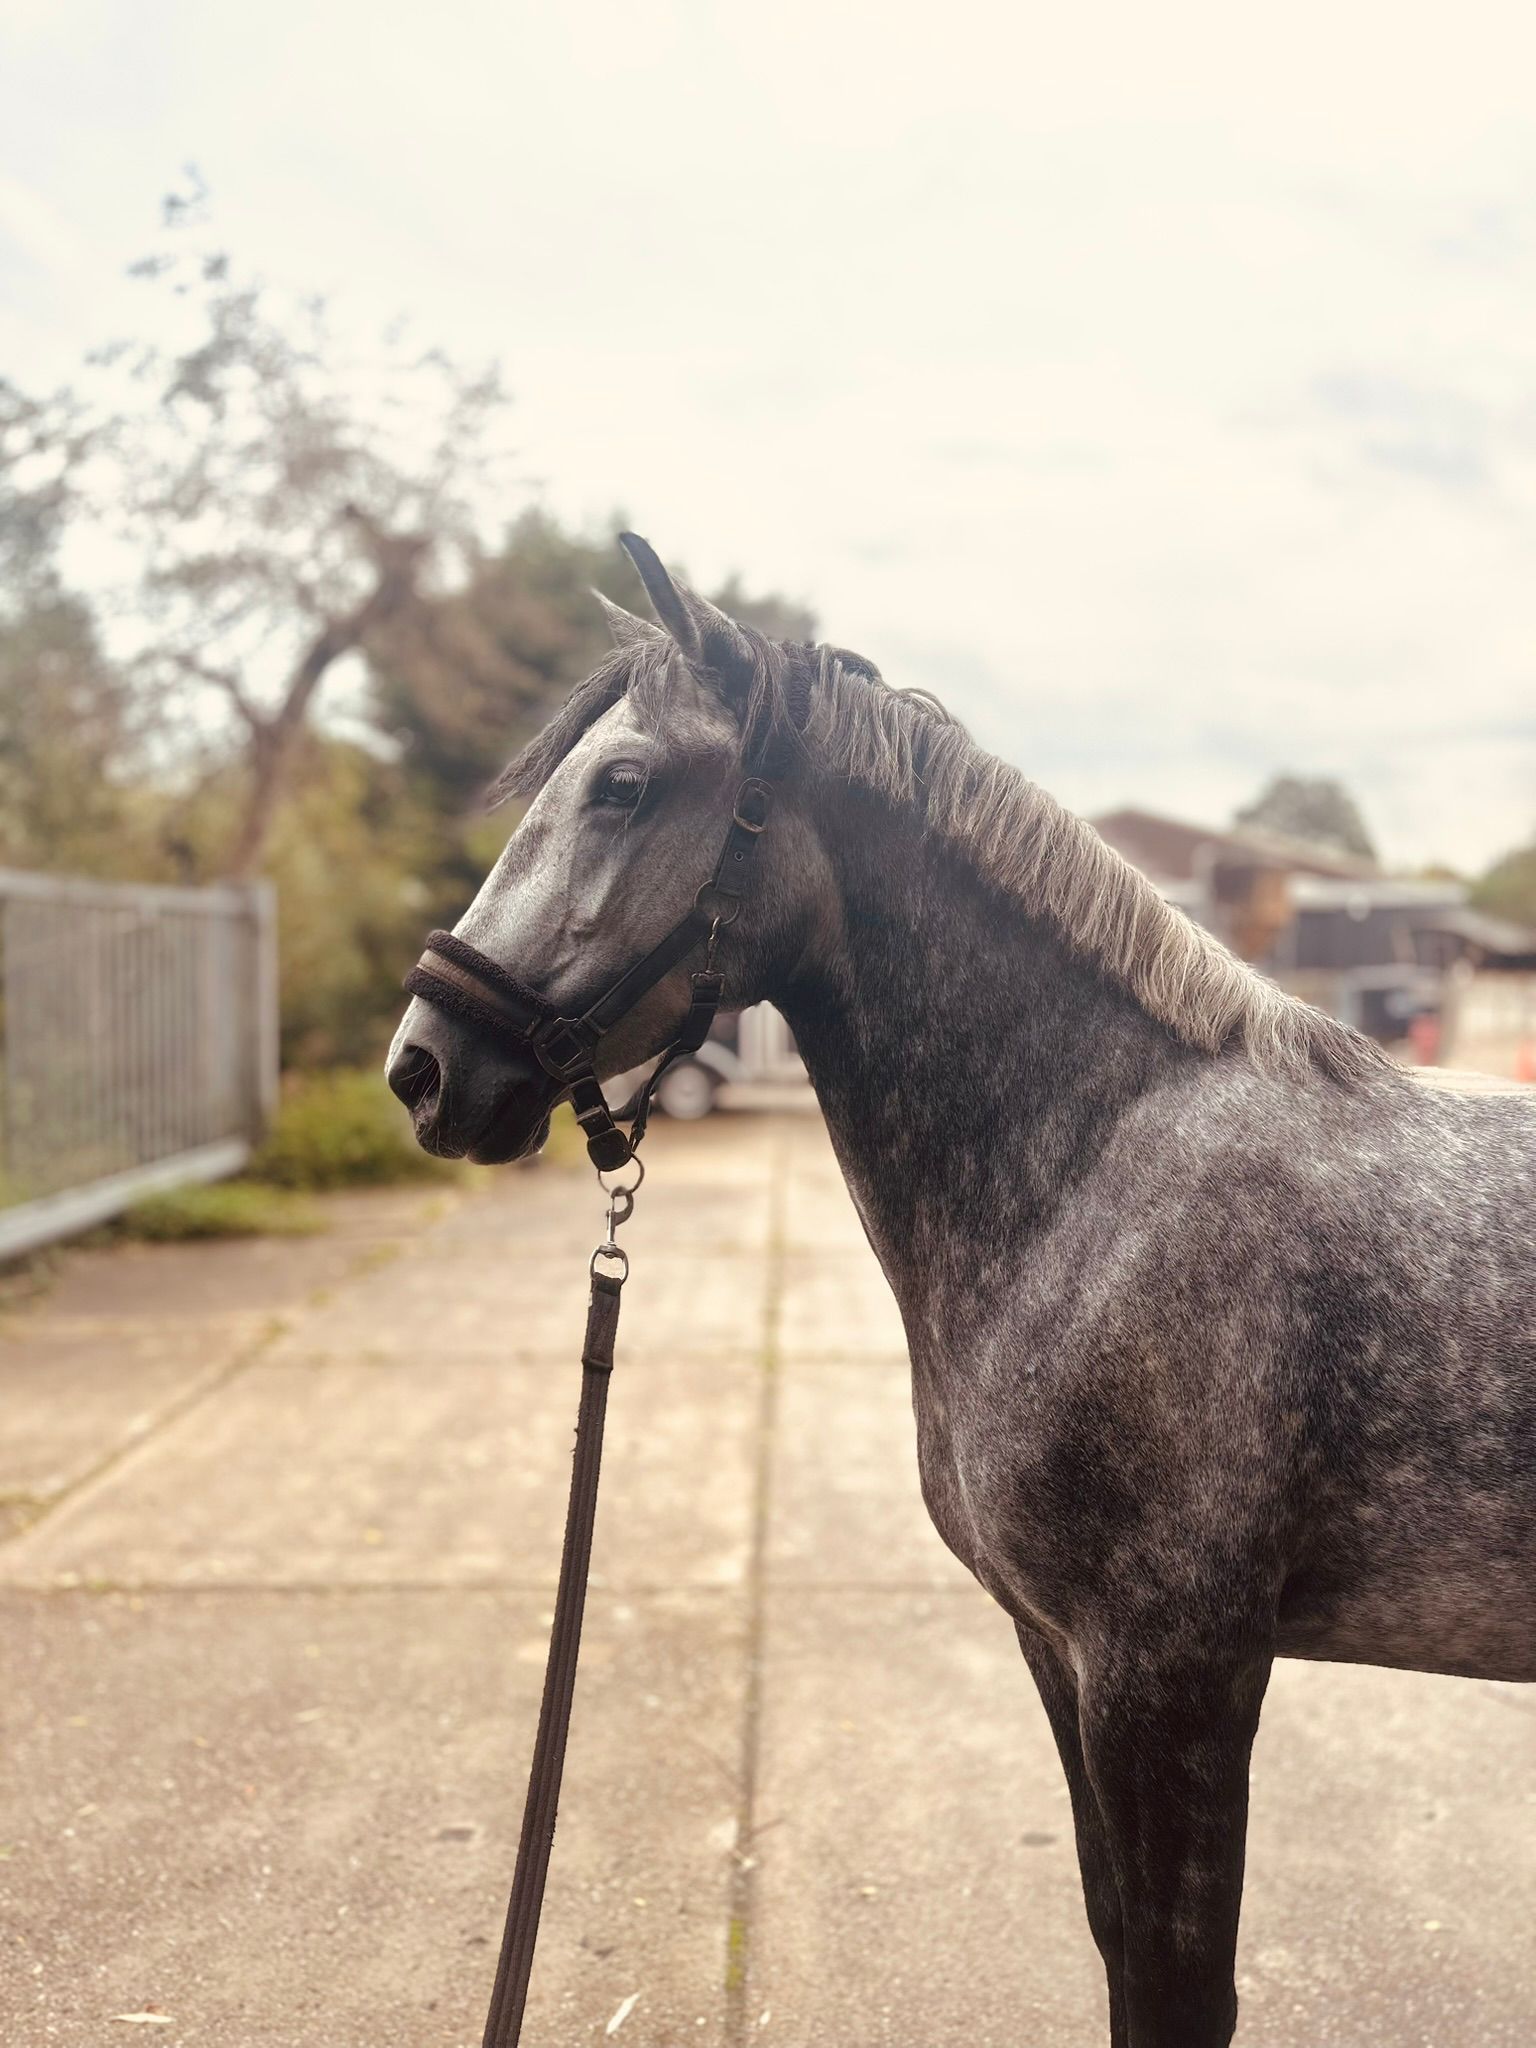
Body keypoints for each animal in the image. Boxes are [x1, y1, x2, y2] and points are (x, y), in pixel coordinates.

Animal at [388, 535, 1535, 2047]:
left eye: (624, 785)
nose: (423, 1068)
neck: (1099, 1173)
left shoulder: (1176, 1675)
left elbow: (1179, 1986)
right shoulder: (1064, 1654)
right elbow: (1119, 1950)